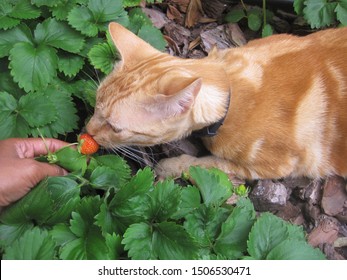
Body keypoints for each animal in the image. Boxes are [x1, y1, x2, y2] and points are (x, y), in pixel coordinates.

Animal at [86, 22, 347, 179]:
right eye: (95, 105)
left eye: (115, 128)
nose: (86, 130)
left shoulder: (273, 166)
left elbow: (206, 165)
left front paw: (170, 166)